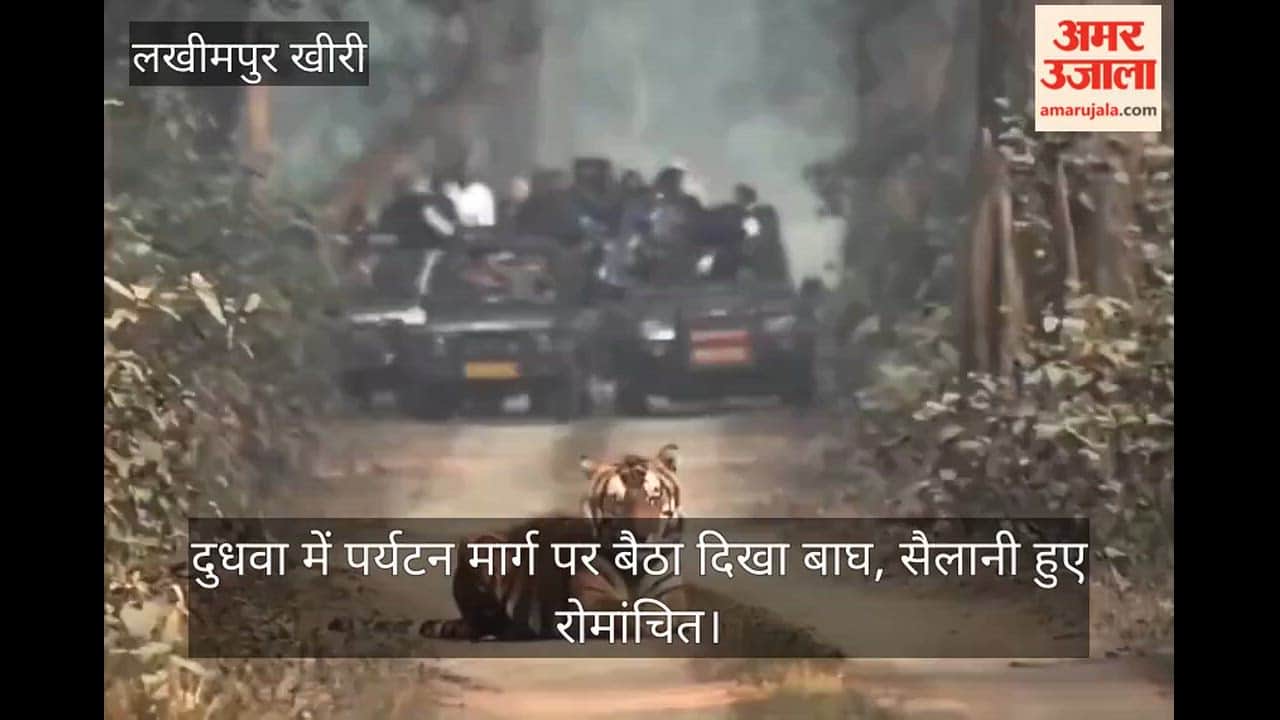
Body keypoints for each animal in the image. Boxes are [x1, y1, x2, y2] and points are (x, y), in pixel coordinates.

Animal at [416, 443, 687, 641]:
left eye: (653, 498)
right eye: (617, 502)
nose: (641, 537)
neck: (634, 567)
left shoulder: (672, 592)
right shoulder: (594, 601)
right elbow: (630, 613)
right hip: (482, 546)